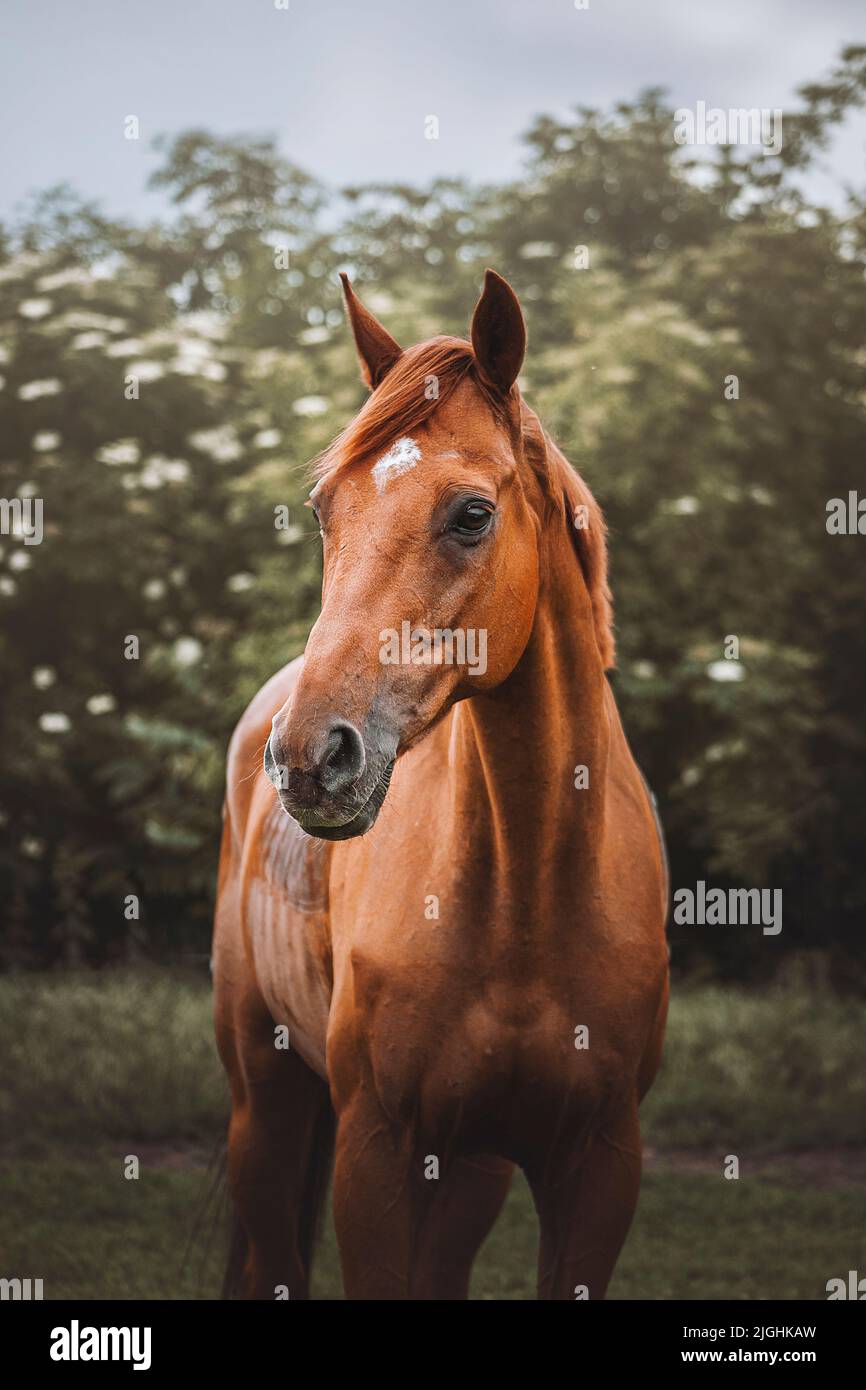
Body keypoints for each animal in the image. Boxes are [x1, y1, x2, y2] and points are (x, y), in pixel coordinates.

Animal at [215, 271, 670, 1301]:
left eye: (471, 515)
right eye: (323, 511)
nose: (312, 757)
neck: (527, 897)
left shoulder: (599, 1166)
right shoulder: (376, 1154)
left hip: (468, 1172)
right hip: (266, 1109)